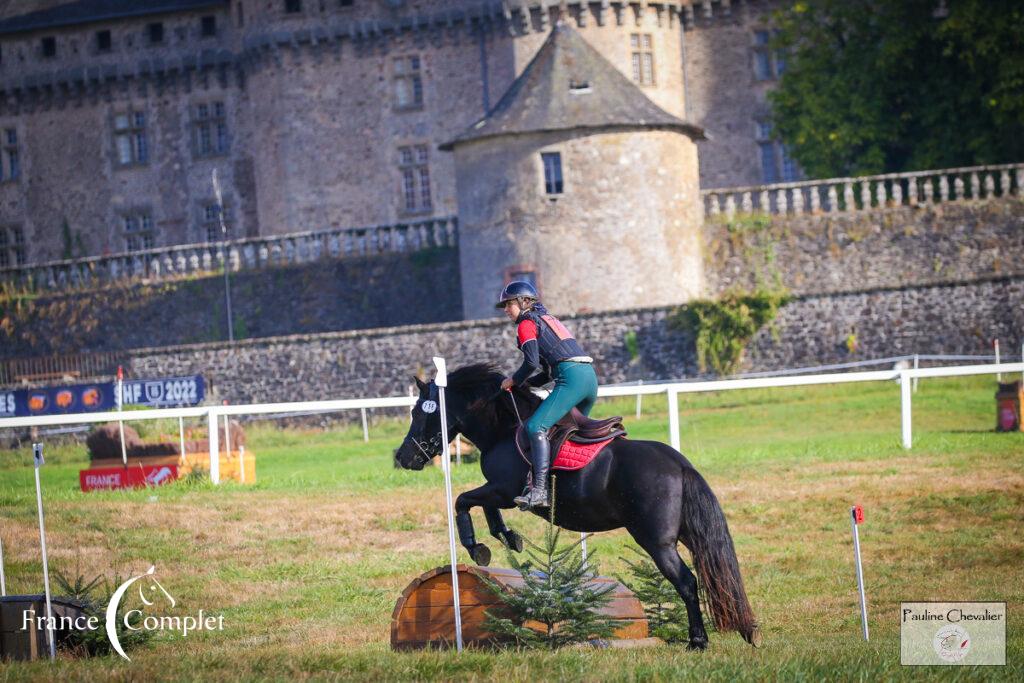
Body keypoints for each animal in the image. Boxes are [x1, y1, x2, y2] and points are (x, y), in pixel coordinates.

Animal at [391, 362, 761, 651]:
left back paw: (697, 640)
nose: (403, 457)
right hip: (686, 533)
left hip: (656, 541)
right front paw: (507, 539)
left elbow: (463, 501)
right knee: (711, 573)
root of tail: (679, 464)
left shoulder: (502, 490)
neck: (503, 428)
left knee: (686, 582)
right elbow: (478, 507)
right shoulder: (498, 493)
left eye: (418, 411)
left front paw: (478, 546)